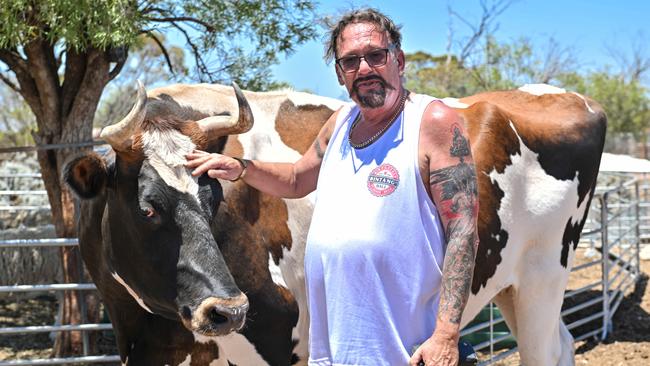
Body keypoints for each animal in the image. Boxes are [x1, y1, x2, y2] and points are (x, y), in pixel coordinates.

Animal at [64, 83, 604, 366]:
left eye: (212, 197)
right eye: (148, 207)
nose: (227, 311)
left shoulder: (279, 341)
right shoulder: (145, 343)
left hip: (542, 277)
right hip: (510, 283)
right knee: (563, 343)